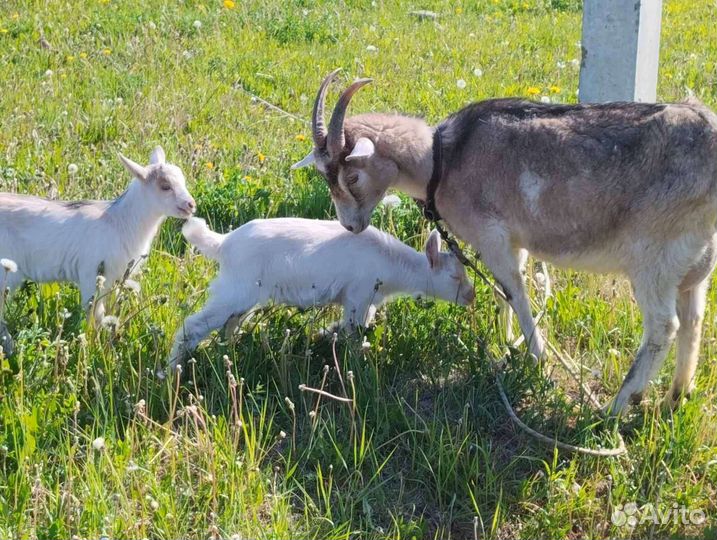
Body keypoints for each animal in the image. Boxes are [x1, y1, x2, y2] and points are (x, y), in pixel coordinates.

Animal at [0, 146, 196, 335]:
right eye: (165, 186)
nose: (191, 205)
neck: (120, 221)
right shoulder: (91, 273)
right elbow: (95, 313)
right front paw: (93, 341)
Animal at [166, 217, 475, 370]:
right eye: (455, 276)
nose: (471, 297)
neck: (391, 262)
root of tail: (224, 243)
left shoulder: (365, 300)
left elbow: (352, 326)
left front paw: (324, 334)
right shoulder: (358, 295)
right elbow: (354, 331)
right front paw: (355, 361)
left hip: (242, 295)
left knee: (230, 323)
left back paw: (227, 353)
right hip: (235, 290)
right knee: (192, 326)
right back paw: (170, 372)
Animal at [293, 70, 717, 415]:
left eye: (351, 177)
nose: (350, 226)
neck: (442, 161)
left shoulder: (493, 237)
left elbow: (515, 292)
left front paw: (536, 357)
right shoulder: (515, 240)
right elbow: (504, 293)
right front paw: (508, 343)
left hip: (654, 256)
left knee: (663, 326)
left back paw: (615, 407)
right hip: (694, 260)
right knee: (693, 318)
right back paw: (675, 397)